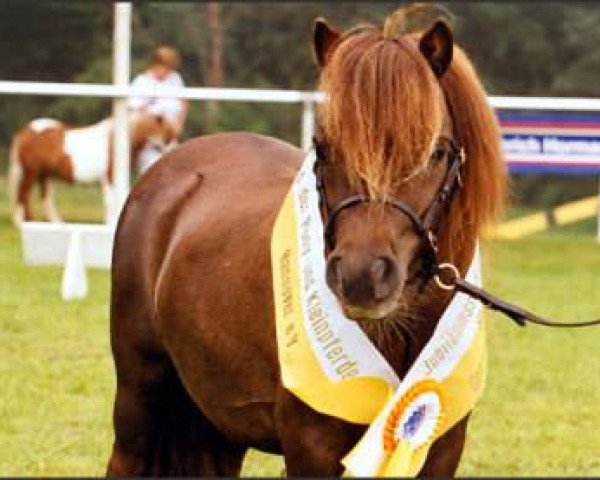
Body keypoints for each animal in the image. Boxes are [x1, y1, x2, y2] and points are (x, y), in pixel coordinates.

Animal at [7, 111, 176, 226]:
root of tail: (25, 132)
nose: (175, 150)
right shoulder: (109, 177)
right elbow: (110, 201)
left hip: (44, 175)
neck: (115, 140)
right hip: (32, 173)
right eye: (168, 135)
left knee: (44, 200)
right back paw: (21, 222)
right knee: (23, 195)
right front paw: (111, 223)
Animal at [105, 5, 504, 478]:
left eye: (435, 152)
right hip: (139, 396)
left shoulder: (440, 450)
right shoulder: (310, 447)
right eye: (324, 148)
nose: (362, 277)